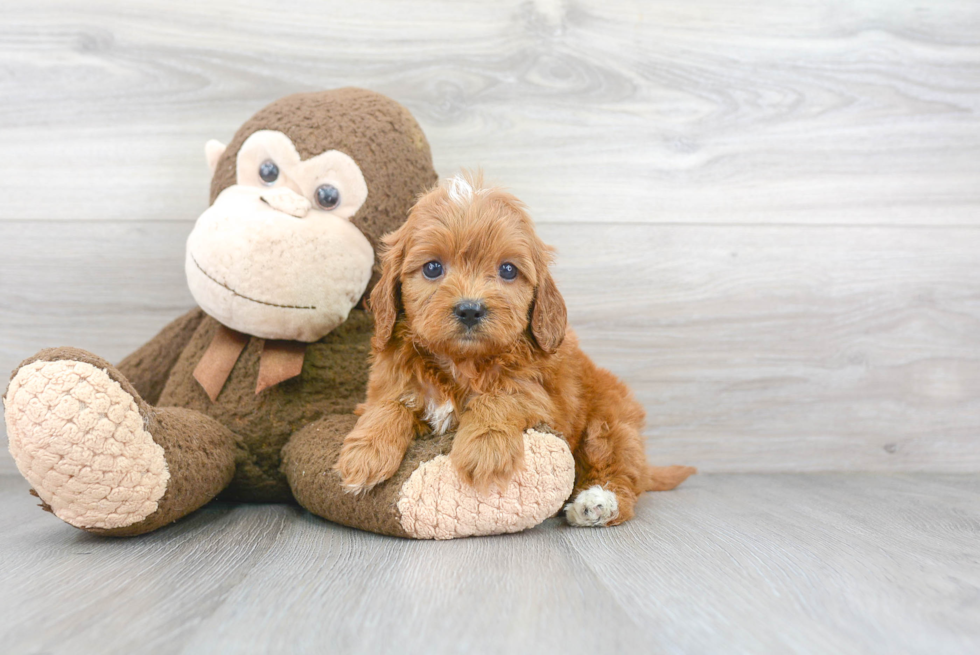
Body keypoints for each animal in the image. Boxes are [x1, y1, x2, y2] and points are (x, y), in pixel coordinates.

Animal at [336, 173, 696, 528]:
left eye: (508, 270)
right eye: (432, 268)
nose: (470, 310)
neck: (461, 362)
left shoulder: (541, 397)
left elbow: (499, 397)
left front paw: (485, 448)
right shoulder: (388, 382)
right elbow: (389, 404)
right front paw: (365, 453)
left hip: (610, 422)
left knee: (622, 472)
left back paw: (597, 503)